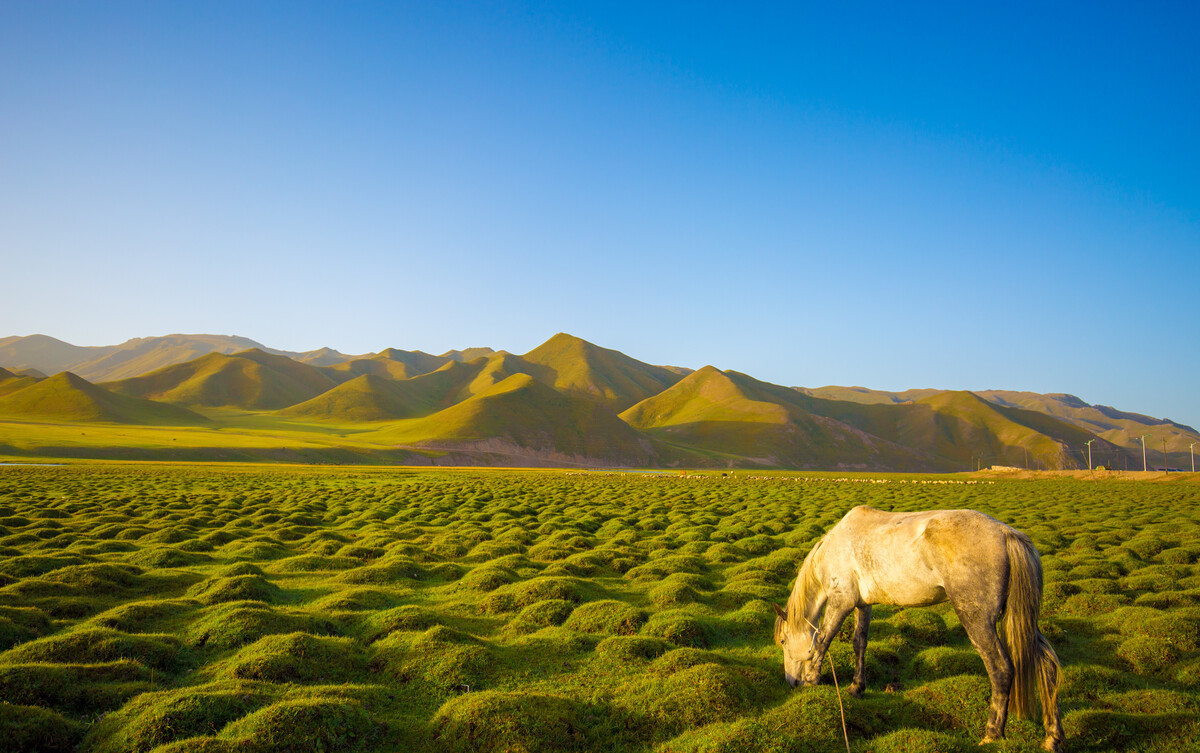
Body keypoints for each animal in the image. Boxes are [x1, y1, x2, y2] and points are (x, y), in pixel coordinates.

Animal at [772, 505, 1065, 753]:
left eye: (784, 641)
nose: (791, 682)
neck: (833, 548)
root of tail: (1008, 535)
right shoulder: (863, 604)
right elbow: (859, 643)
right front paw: (856, 687)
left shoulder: (841, 601)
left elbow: (824, 639)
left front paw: (812, 680)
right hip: (1023, 620)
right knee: (1046, 665)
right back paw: (1052, 737)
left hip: (977, 618)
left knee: (1001, 668)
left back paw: (992, 733)